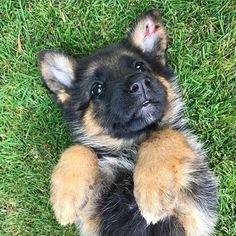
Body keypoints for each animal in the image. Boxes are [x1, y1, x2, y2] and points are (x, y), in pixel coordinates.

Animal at [37, 8, 217, 235]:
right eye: (97, 88)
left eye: (139, 66)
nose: (139, 84)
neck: (130, 146)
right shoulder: (93, 209)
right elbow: (78, 148)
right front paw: (67, 198)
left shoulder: (191, 201)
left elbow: (163, 134)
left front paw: (152, 190)